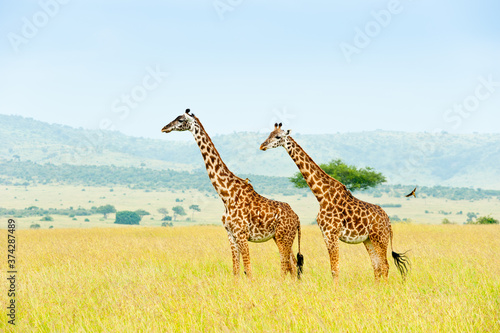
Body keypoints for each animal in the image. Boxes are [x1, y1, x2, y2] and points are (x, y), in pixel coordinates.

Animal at [163, 109, 304, 278]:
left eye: (180, 119)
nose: (164, 128)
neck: (226, 195)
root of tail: (297, 218)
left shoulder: (241, 234)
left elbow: (248, 270)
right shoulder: (230, 234)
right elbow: (236, 270)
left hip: (284, 237)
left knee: (286, 265)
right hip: (280, 237)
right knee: (293, 264)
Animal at [260, 123, 408, 284]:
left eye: (278, 136)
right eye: (269, 134)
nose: (262, 146)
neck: (322, 196)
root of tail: (389, 222)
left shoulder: (332, 233)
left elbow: (335, 269)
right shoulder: (325, 234)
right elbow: (334, 268)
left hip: (380, 237)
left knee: (385, 265)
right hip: (368, 239)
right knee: (377, 266)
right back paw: (377, 287)